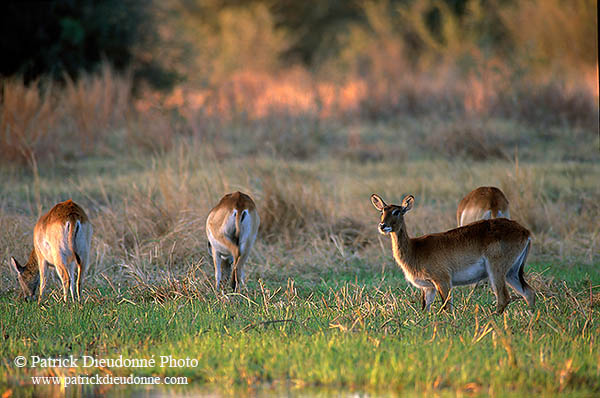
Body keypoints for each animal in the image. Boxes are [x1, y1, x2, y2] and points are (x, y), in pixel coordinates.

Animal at [370, 194, 536, 314]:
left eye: (397, 211)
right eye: (382, 211)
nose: (382, 225)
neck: (414, 249)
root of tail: (525, 232)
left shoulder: (443, 280)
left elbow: (447, 308)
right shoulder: (428, 288)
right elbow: (425, 310)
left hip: (496, 269)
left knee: (503, 298)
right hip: (512, 272)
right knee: (529, 293)